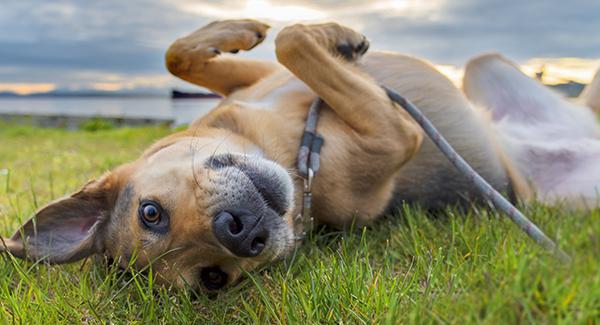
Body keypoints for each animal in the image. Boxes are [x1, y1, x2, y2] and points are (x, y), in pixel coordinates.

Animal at [2, 19, 596, 290]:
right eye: (213, 280)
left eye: (151, 213)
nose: (239, 231)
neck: (284, 149)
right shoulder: (395, 134)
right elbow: (293, 43)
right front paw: (328, 35)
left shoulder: (257, 80)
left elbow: (188, 55)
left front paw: (263, 30)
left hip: (484, 64)